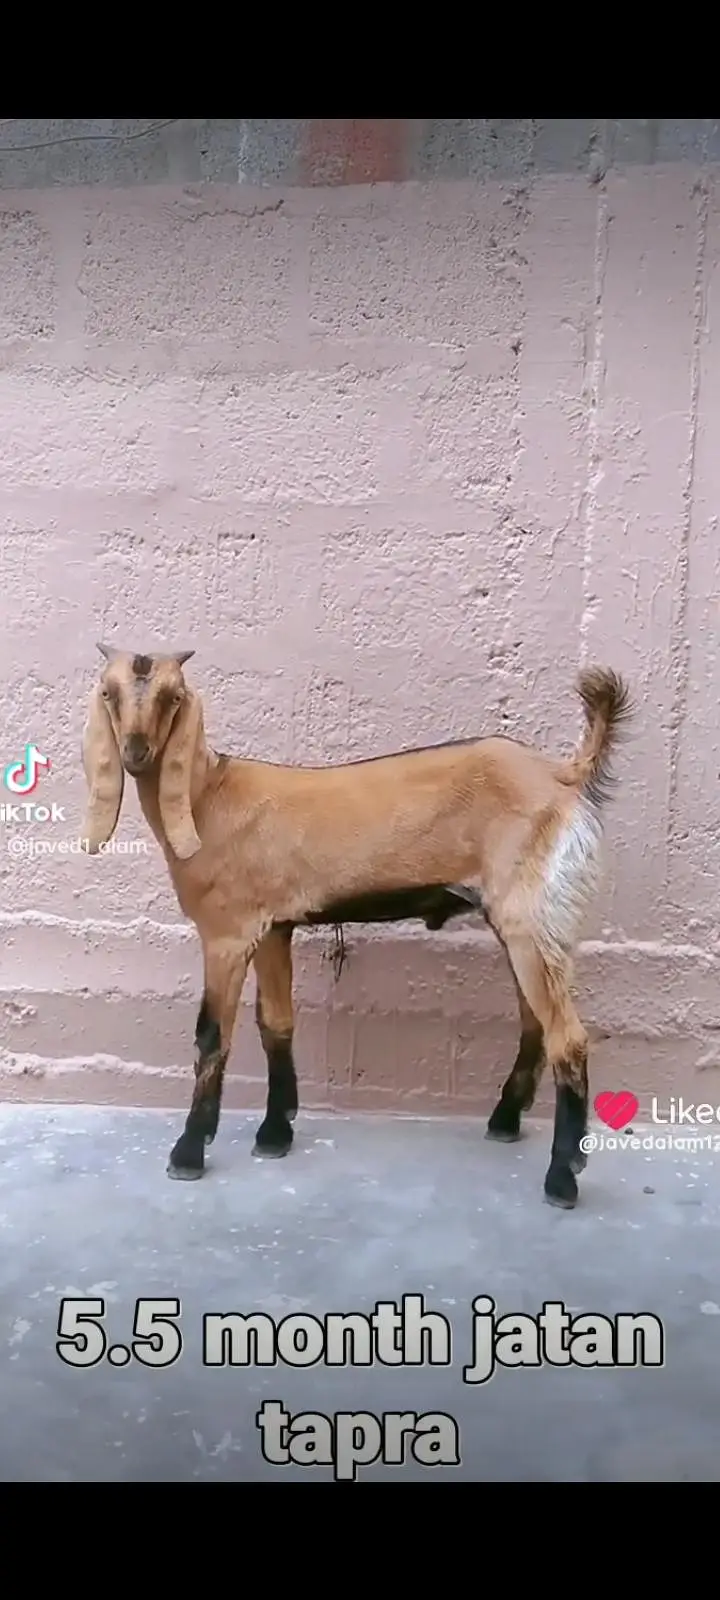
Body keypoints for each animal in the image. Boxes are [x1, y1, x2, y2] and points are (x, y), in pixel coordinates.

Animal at [81, 645, 633, 1209]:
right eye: (108, 692)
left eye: (174, 695)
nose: (137, 753)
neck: (209, 796)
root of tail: (563, 775)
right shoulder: (273, 926)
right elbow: (275, 1023)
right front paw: (275, 1132)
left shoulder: (228, 932)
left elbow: (212, 1035)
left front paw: (189, 1151)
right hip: (527, 922)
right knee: (534, 1022)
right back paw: (505, 1123)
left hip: (531, 912)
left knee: (568, 1037)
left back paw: (562, 1176)